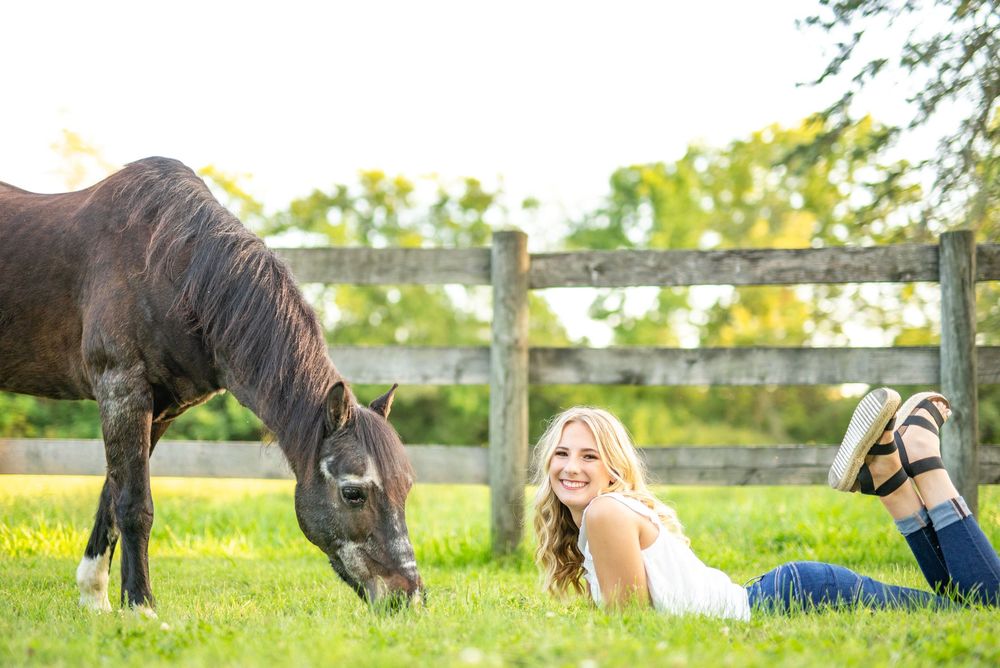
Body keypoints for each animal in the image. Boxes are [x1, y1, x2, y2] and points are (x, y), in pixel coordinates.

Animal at [0, 157, 423, 615]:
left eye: (406, 487)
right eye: (353, 493)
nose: (408, 597)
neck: (165, 266)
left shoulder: (158, 410)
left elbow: (111, 496)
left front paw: (94, 597)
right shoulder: (121, 388)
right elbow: (133, 503)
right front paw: (141, 605)